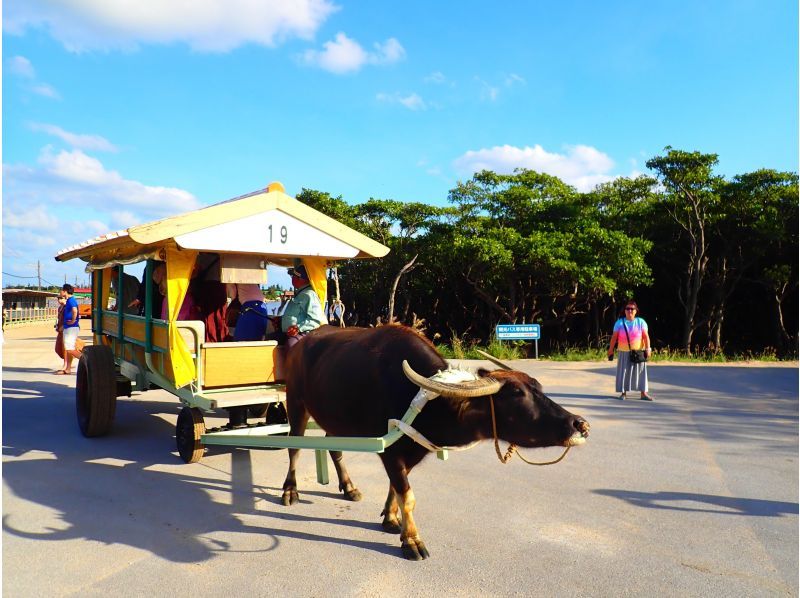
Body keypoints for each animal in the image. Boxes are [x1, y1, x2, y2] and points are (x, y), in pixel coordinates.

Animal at [282, 326, 588, 560]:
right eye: (516, 393)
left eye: (538, 387)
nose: (580, 425)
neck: (424, 401)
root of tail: (301, 344)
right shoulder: (391, 451)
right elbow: (408, 496)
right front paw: (412, 541)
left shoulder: (411, 451)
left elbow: (396, 489)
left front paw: (391, 519)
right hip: (295, 403)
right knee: (294, 447)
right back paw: (290, 491)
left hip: (333, 420)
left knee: (334, 447)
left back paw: (349, 487)